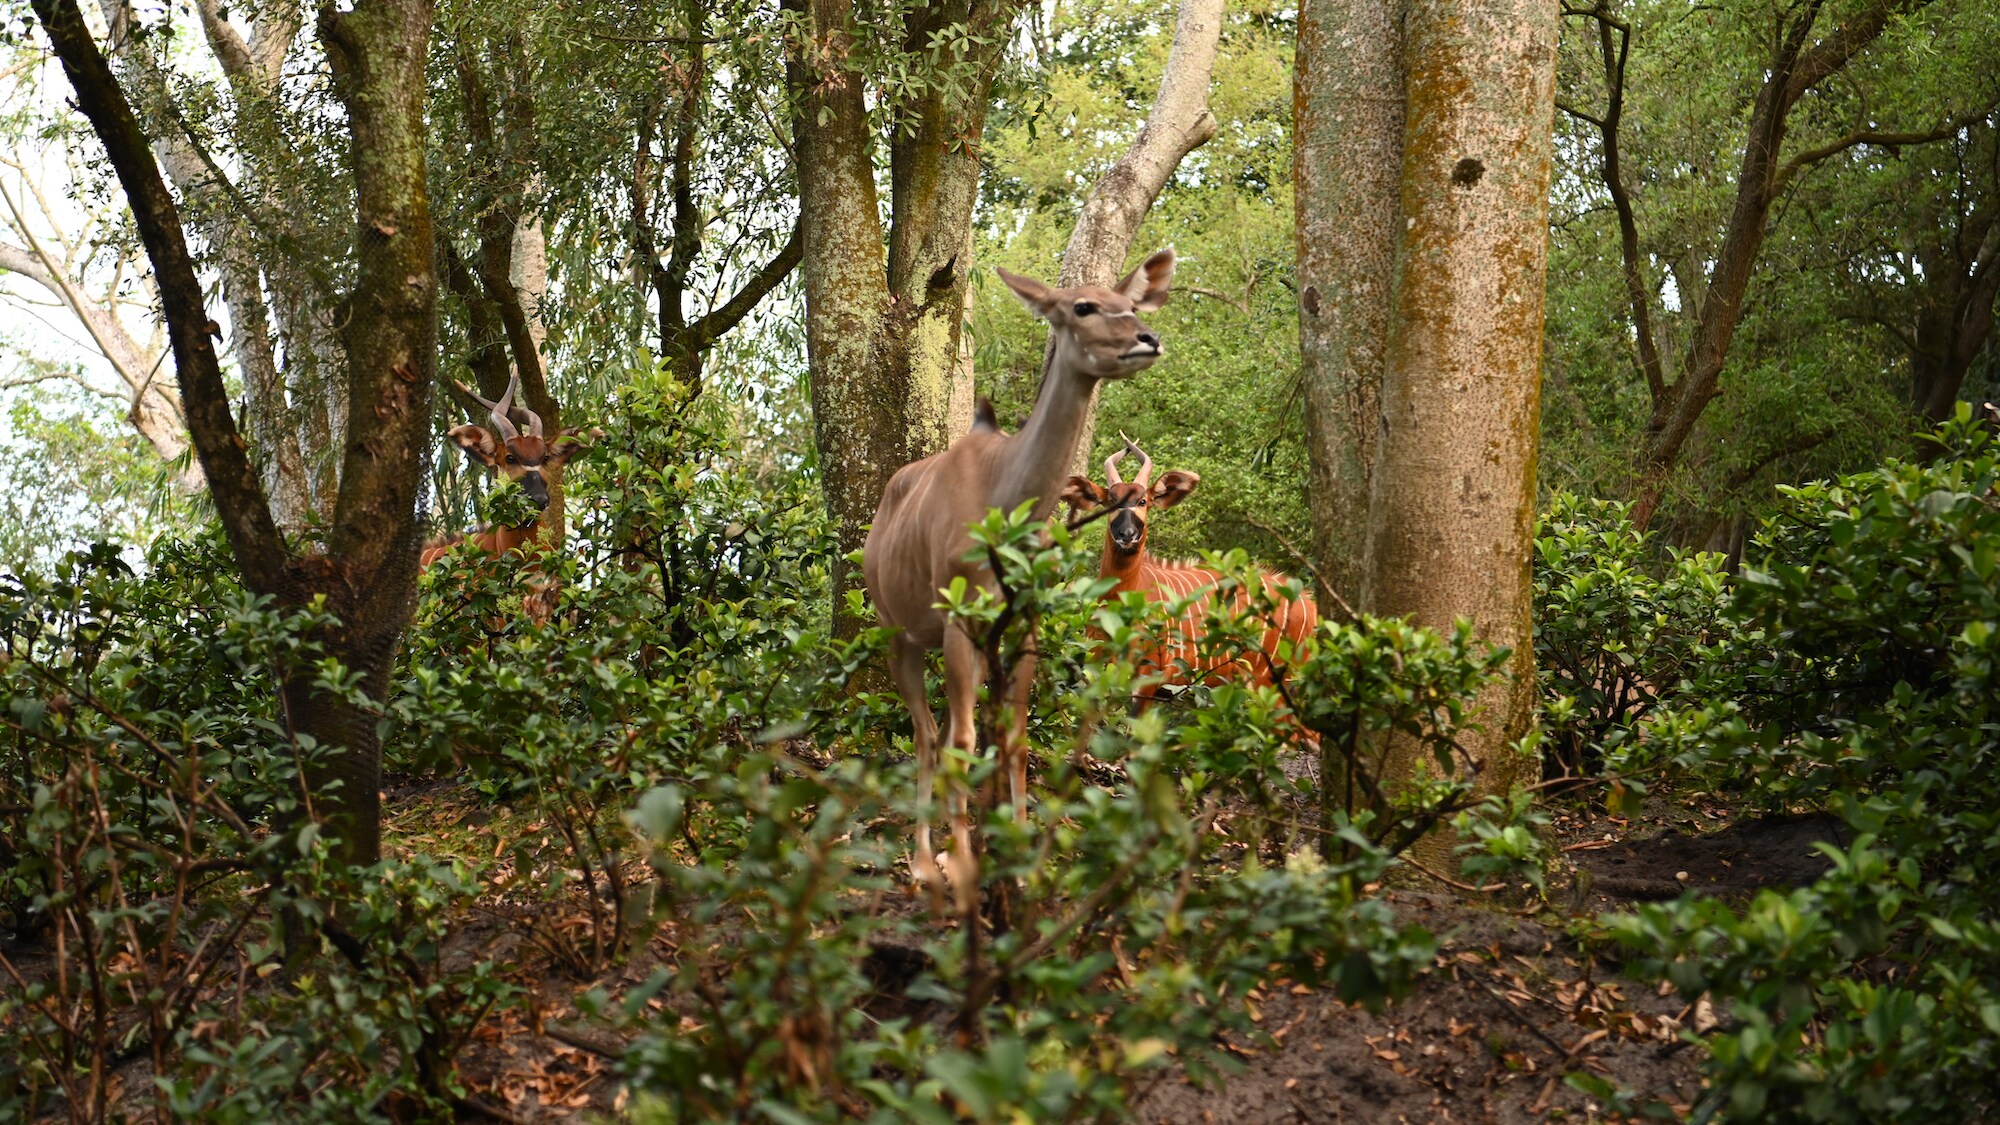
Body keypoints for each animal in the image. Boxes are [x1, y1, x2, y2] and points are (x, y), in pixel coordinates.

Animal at [868, 247, 1176, 900]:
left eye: (1130, 303)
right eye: (1082, 307)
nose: (1147, 339)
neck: (1003, 499)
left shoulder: (1024, 622)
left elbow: (1014, 736)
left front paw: (1019, 864)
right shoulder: (960, 620)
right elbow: (963, 741)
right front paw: (964, 869)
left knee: (949, 730)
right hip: (896, 630)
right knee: (927, 734)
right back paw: (923, 862)